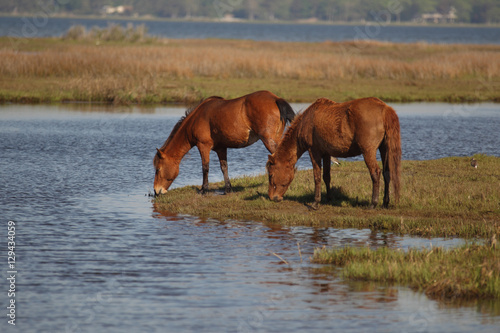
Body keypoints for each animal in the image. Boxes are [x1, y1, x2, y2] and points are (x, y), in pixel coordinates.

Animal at [152, 89, 292, 196]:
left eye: (158, 169)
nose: (156, 191)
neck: (197, 118)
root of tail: (275, 99)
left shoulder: (203, 146)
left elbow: (205, 167)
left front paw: (203, 190)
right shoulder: (221, 148)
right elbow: (224, 167)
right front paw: (228, 189)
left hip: (269, 141)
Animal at [266, 96, 402, 208]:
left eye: (271, 175)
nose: (272, 197)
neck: (307, 120)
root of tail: (385, 109)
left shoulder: (314, 151)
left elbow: (317, 176)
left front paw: (316, 202)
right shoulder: (326, 153)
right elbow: (326, 176)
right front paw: (328, 198)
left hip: (368, 151)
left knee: (375, 173)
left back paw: (373, 203)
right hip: (384, 148)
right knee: (386, 173)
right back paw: (385, 202)